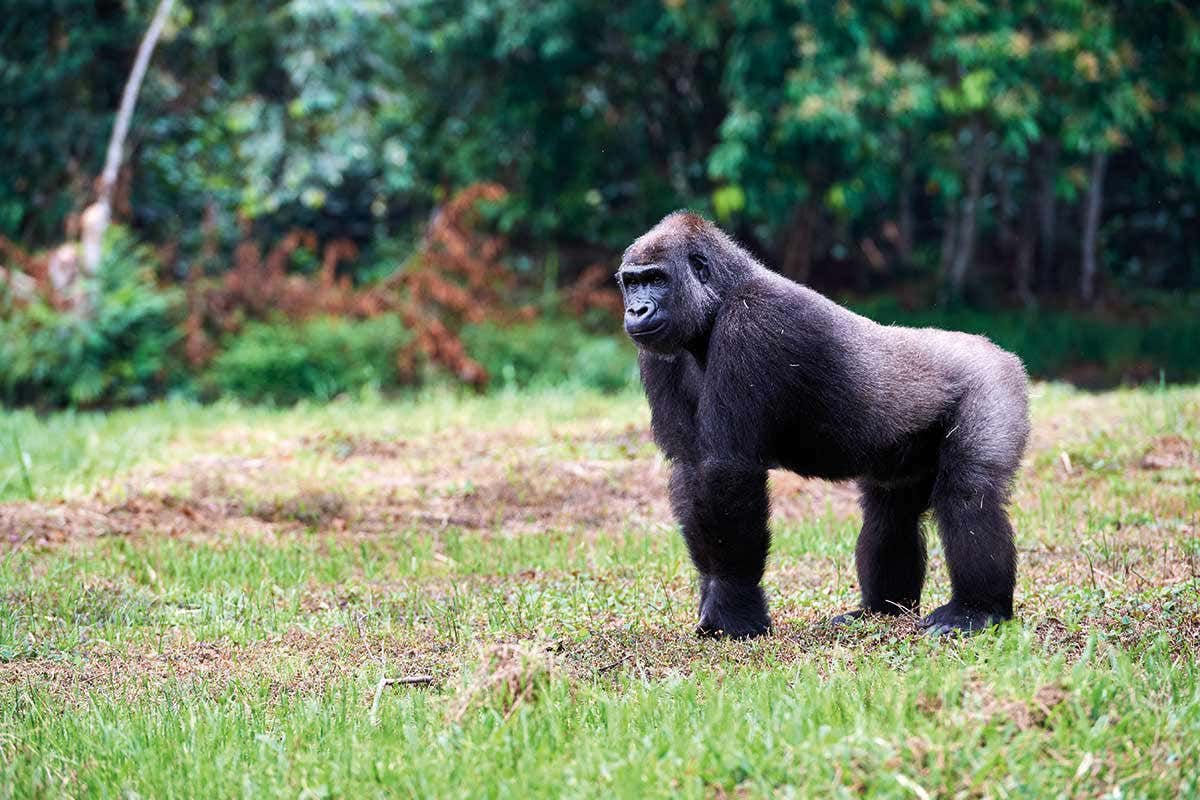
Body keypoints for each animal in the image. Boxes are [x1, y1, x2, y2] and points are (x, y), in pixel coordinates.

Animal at [616, 212, 1030, 638]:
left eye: (657, 279)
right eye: (632, 282)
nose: (636, 311)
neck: (720, 297)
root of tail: (999, 351)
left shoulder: (752, 323)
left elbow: (727, 470)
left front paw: (734, 605)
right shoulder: (660, 355)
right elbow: (690, 468)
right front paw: (713, 594)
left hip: (993, 383)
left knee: (969, 492)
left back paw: (976, 609)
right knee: (890, 511)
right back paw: (882, 608)